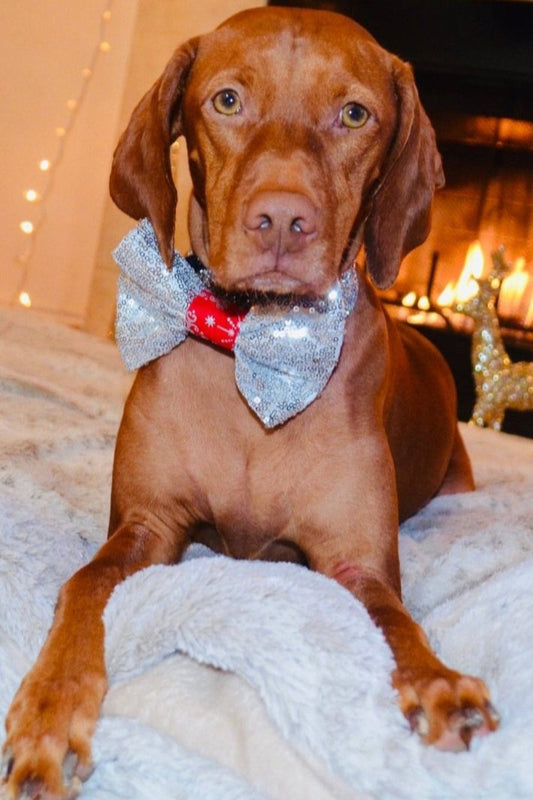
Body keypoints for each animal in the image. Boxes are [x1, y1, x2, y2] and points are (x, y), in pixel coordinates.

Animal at [3, 7, 498, 800]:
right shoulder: (147, 525)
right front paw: (49, 711)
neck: (255, 347)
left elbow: (400, 625)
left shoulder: (357, 565)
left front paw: (439, 684)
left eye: (354, 113)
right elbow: (83, 588)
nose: (283, 221)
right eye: (228, 101)